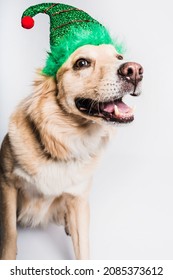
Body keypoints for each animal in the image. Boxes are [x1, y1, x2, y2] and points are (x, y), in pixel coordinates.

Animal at [0, 44, 143, 260]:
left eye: (119, 57)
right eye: (82, 63)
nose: (134, 70)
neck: (61, 142)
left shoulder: (79, 198)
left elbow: (82, 248)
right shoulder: (7, 184)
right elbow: (9, 235)